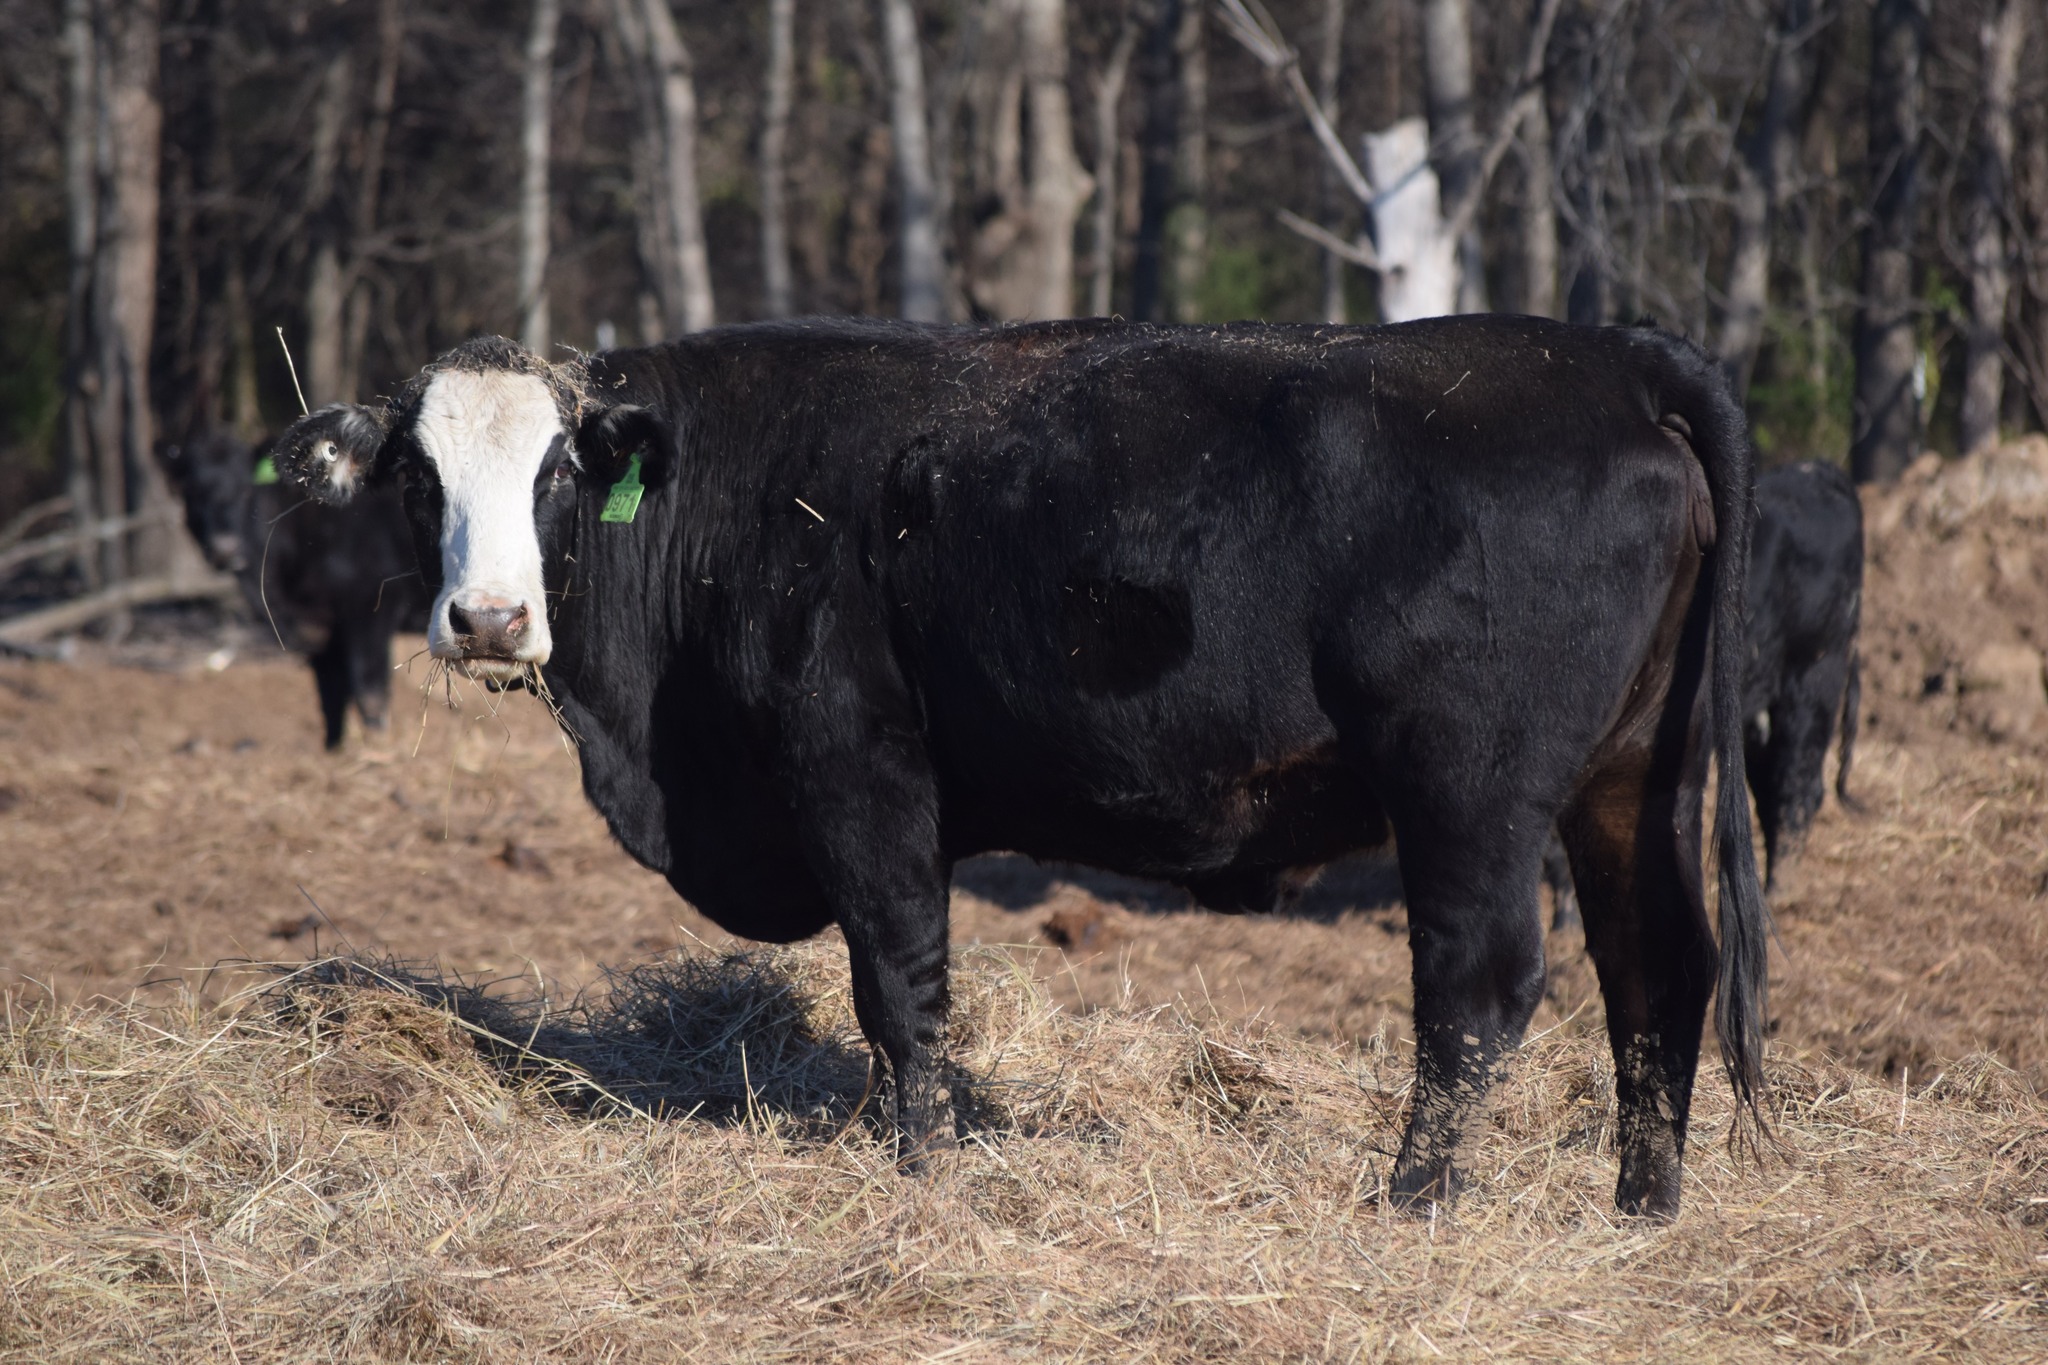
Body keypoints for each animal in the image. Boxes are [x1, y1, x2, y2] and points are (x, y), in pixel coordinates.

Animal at [163, 429, 424, 749]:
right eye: (192, 492)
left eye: (245, 489)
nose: (224, 547)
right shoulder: (323, 632)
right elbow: (331, 698)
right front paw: (335, 751)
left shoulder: (370, 607)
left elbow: (369, 690)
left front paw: (377, 749)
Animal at [272, 314, 1769, 1220]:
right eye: (419, 478)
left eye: (556, 476)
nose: (486, 619)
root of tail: (1611, 357)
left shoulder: (861, 776)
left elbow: (900, 990)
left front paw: (922, 1172)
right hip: (1632, 778)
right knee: (1658, 966)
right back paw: (1641, 1208)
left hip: (1470, 792)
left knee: (1478, 988)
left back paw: (1411, 1202)